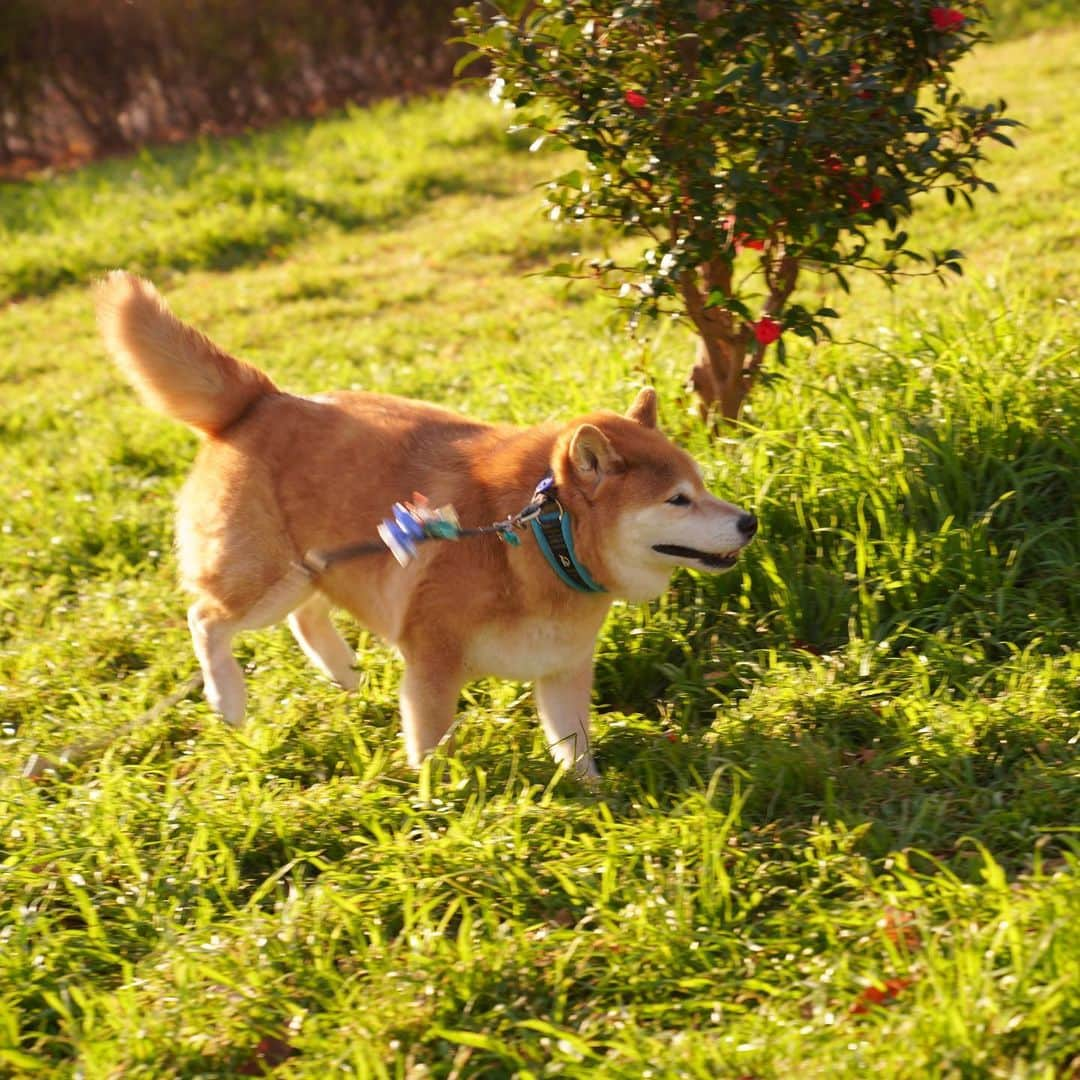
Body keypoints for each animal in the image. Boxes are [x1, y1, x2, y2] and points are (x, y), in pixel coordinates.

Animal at [95, 270, 760, 777]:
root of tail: (262, 399)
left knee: (307, 617)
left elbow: (574, 747)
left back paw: (342, 673)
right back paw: (228, 699)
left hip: (319, 569)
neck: (545, 540)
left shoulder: (561, 669)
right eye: (678, 500)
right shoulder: (433, 662)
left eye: (702, 486)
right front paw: (440, 804)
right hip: (267, 580)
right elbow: (432, 744)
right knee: (207, 618)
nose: (750, 522)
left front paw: (594, 801)